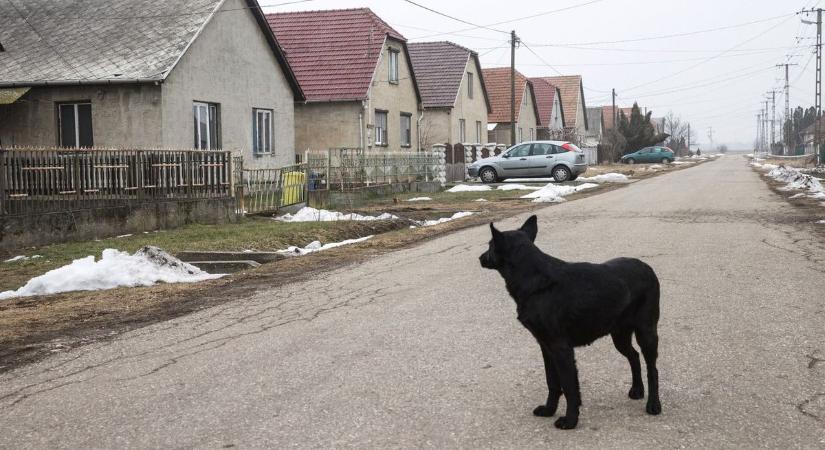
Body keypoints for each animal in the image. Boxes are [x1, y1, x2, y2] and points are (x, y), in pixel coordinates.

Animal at [480, 216, 660, 430]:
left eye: (490, 245)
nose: (480, 258)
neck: (535, 281)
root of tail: (648, 268)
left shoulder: (561, 349)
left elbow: (569, 386)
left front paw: (570, 420)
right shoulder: (546, 347)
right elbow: (552, 382)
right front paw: (549, 410)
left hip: (646, 333)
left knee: (652, 368)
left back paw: (654, 404)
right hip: (620, 336)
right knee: (634, 356)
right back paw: (637, 390)